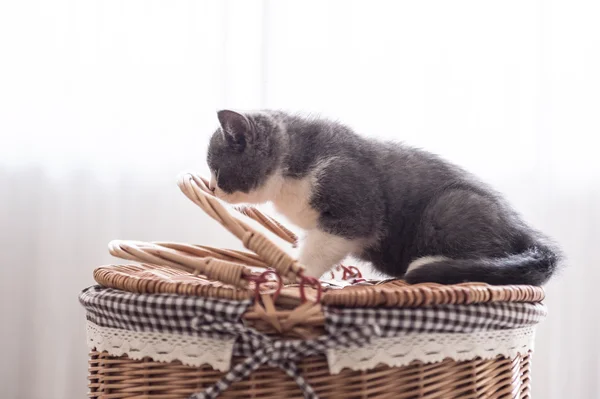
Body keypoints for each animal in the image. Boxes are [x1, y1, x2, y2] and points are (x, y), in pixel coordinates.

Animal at [207, 108, 564, 284]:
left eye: (216, 169)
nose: (210, 187)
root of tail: (523, 229)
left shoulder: (354, 207)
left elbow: (320, 248)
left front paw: (293, 274)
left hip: (451, 206)